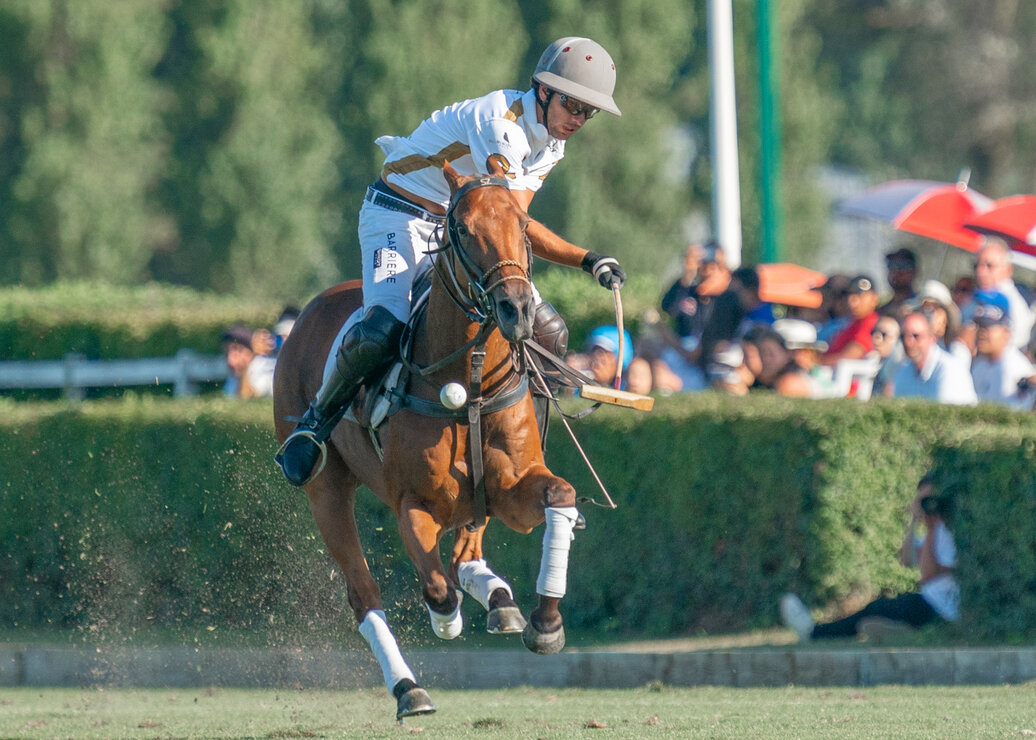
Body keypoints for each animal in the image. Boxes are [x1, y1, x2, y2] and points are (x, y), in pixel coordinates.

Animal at [275, 159, 580, 713]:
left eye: (524, 225)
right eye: (463, 230)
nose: (516, 310)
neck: (469, 381)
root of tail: (312, 307)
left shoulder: (511, 487)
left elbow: (559, 496)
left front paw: (545, 622)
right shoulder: (411, 504)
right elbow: (436, 586)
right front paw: (447, 621)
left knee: (465, 554)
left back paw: (500, 601)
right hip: (325, 489)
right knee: (366, 592)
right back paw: (409, 687)